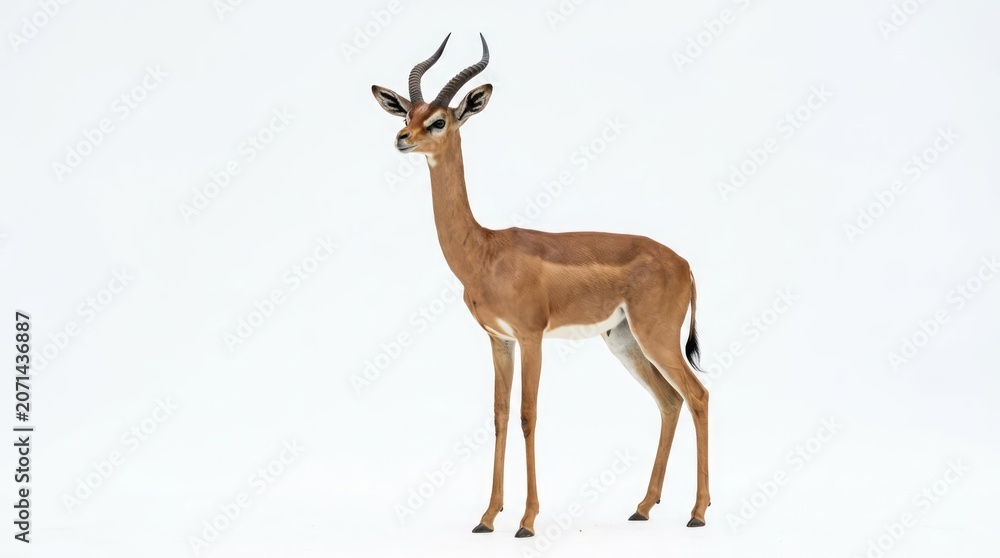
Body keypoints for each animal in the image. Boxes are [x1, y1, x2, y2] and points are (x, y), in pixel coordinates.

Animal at [371, 34, 710, 537]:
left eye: (439, 120)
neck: (484, 252)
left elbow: (528, 416)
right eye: (406, 115)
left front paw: (527, 521)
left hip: (657, 337)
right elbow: (499, 416)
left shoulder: (532, 337)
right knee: (669, 401)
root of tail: (684, 263)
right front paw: (487, 517)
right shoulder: (499, 340)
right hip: (624, 340)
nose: (401, 139)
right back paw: (643, 507)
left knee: (697, 396)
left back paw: (697, 513)